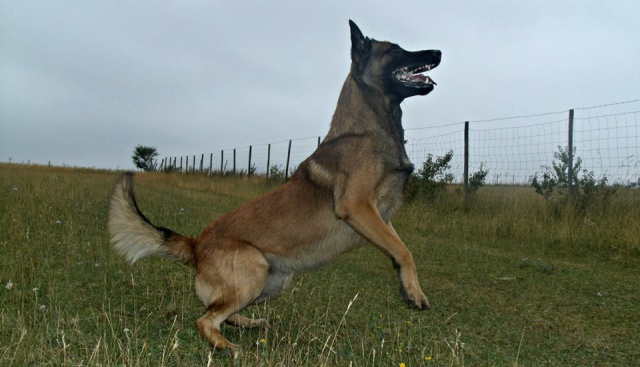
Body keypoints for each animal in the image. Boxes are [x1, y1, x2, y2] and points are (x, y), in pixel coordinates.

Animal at [109, 20, 440, 360]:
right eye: (396, 49)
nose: (438, 52)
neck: (369, 129)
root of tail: (195, 244)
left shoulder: (380, 217)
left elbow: (399, 248)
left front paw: (408, 287)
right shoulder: (358, 207)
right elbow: (405, 250)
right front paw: (415, 292)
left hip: (272, 282)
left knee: (220, 312)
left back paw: (249, 323)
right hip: (254, 272)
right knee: (205, 319)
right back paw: (226, 345)